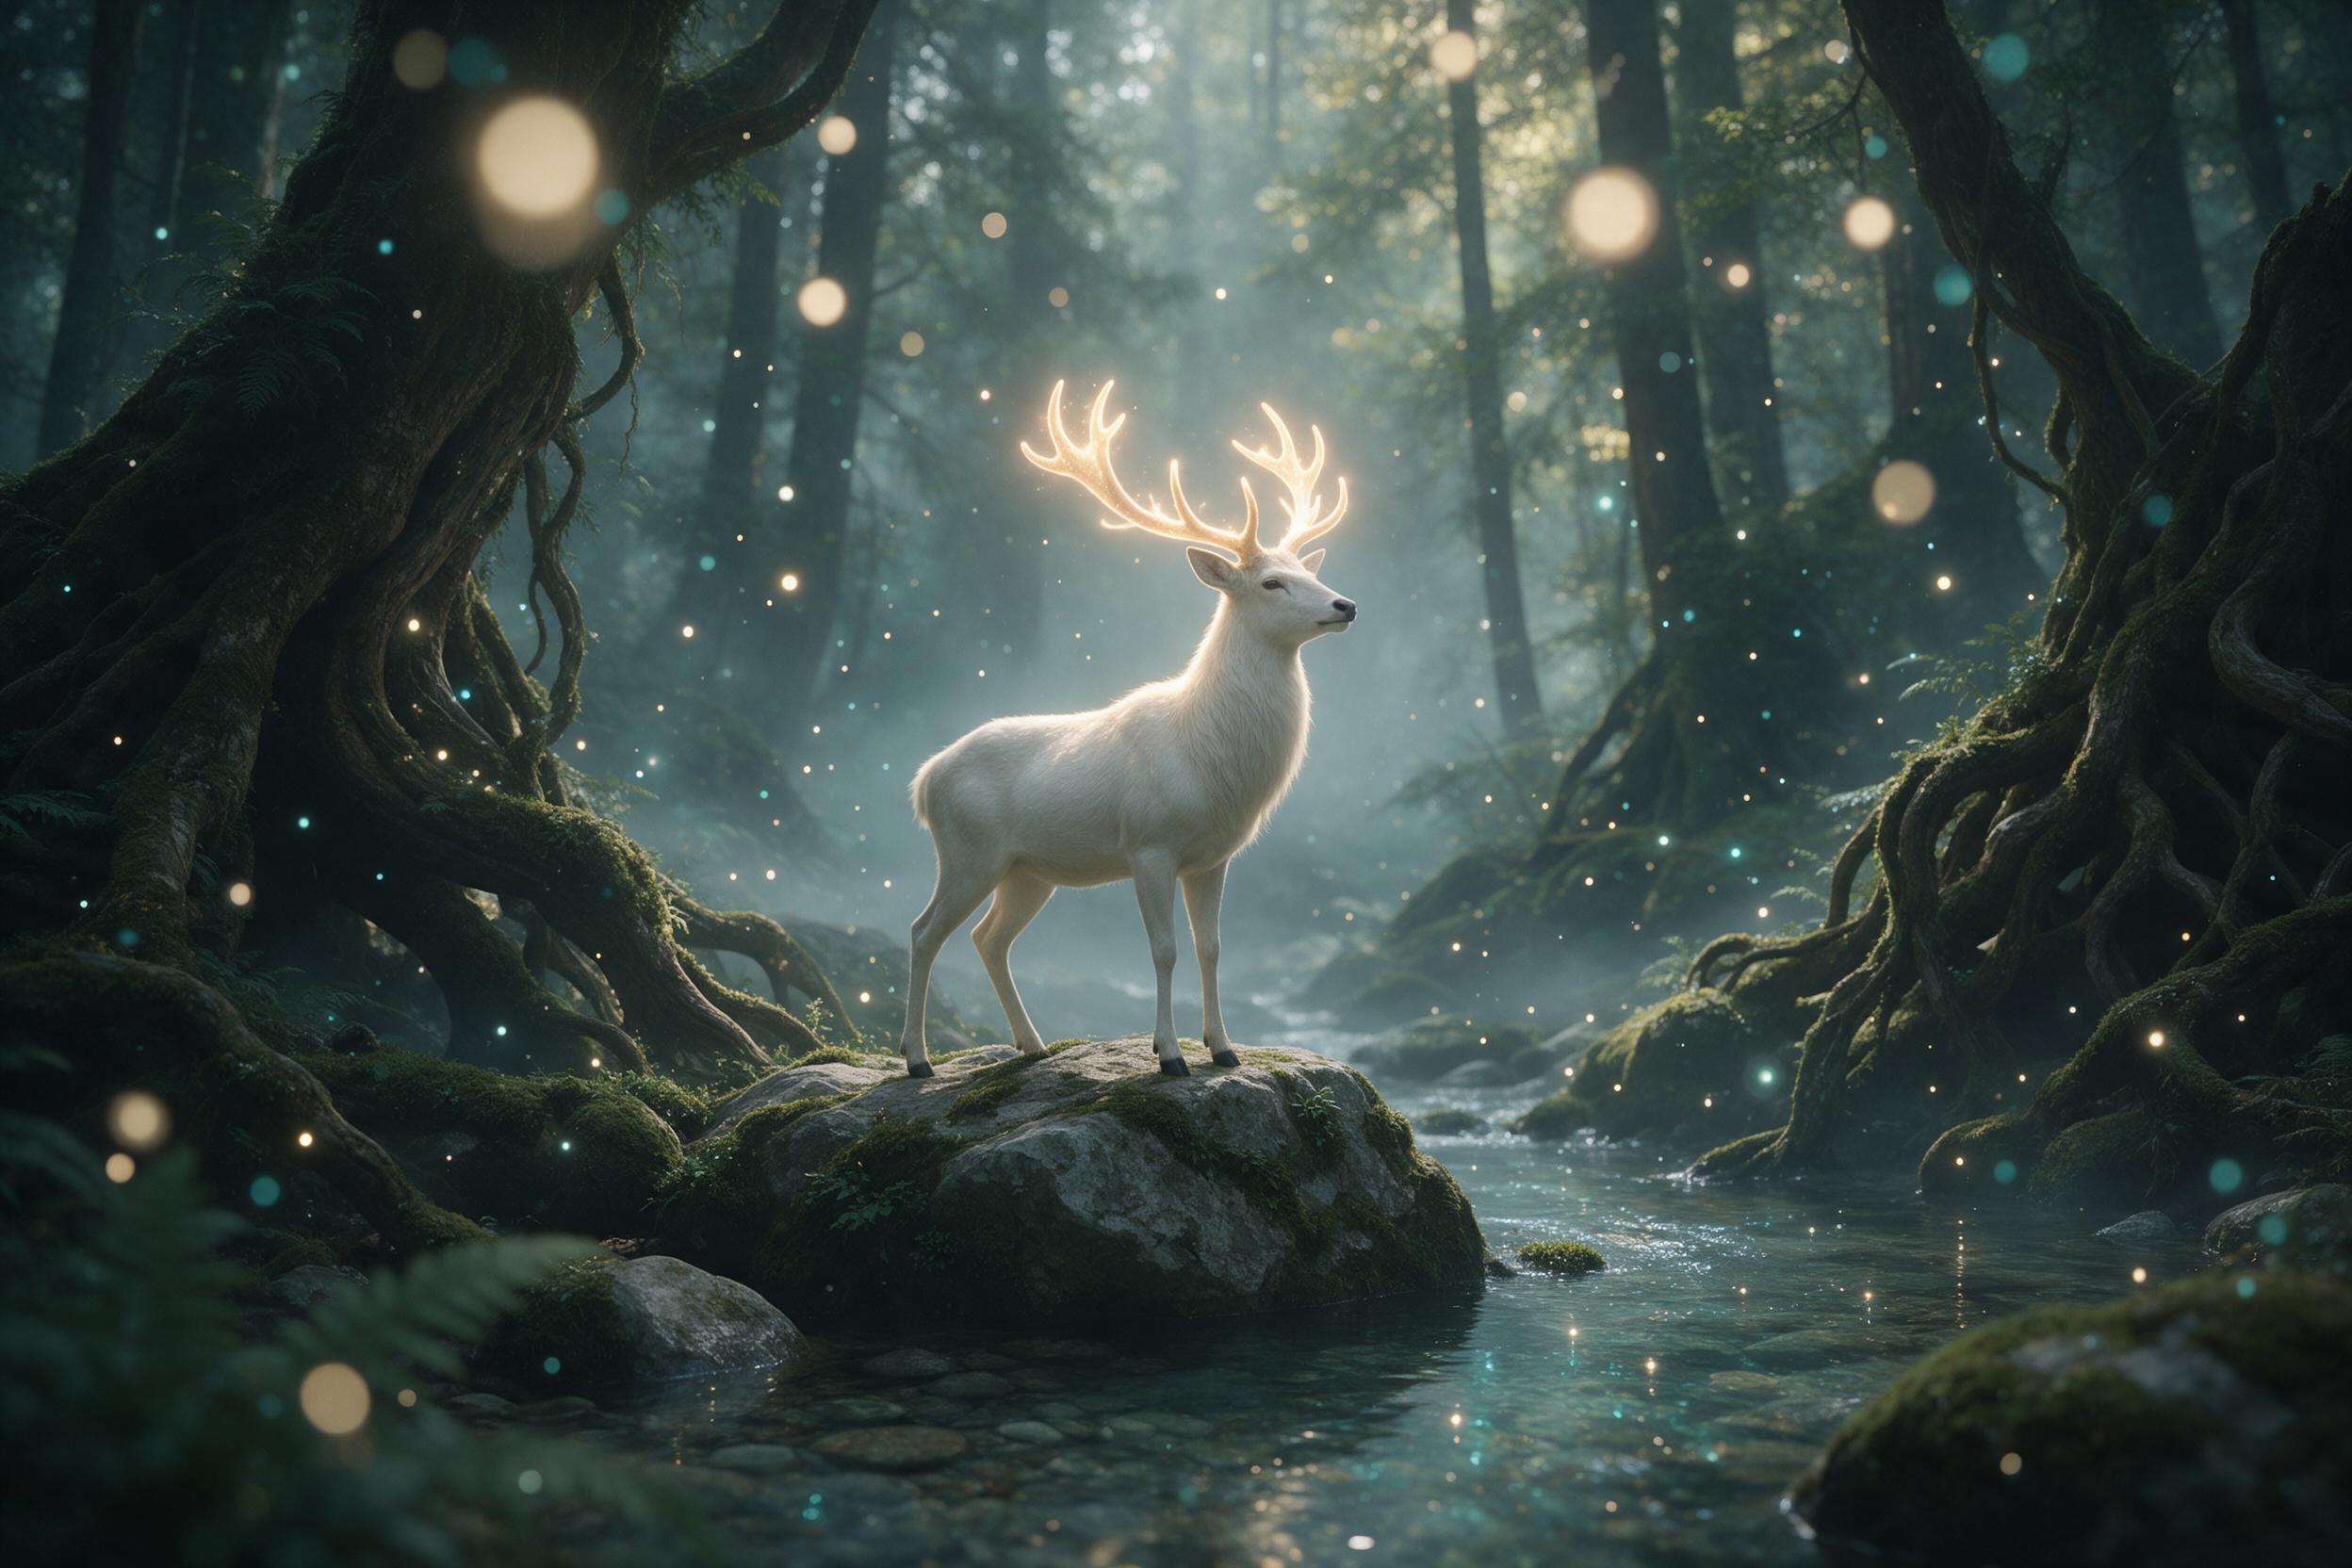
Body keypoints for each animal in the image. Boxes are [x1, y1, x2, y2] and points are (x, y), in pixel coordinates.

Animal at [899, 379, 1356, 1079]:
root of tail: (924, 780)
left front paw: (1223, 1048)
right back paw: (918, 1060)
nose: (1345, 604)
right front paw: (1168, 1055)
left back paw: (1031, 1044)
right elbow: (1164, 949)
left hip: (1027, 870)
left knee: (988, 938)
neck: (1210, 759)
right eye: (1272, 582)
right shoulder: (1149, 841)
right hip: (968, 850)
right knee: (924, 931)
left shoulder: (1214, 856)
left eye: (1311, 571)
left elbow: (1212, 947)